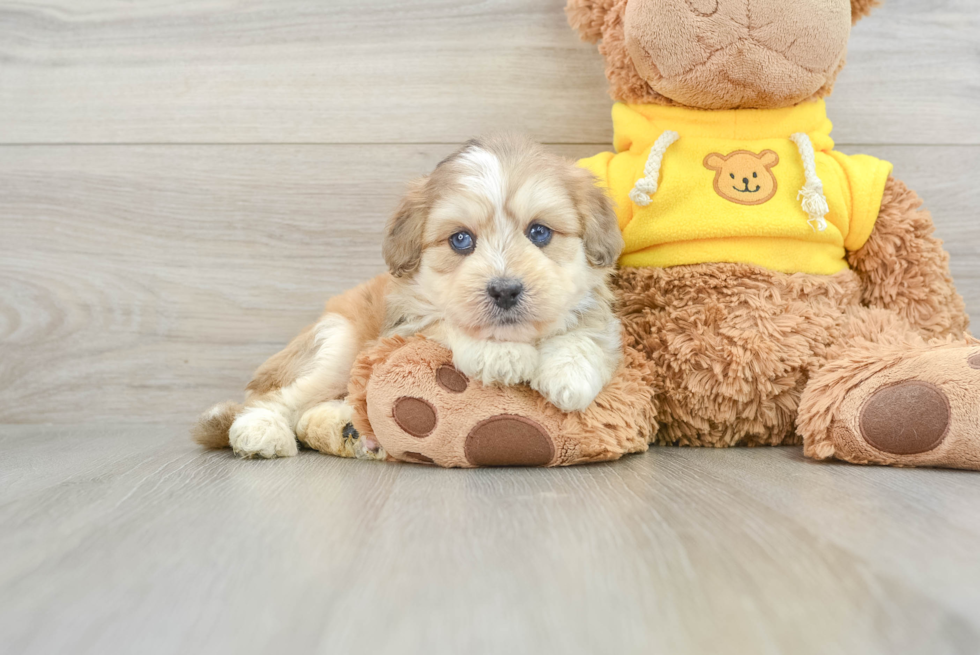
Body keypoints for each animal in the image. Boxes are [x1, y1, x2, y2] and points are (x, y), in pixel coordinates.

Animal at [194, 135, 624, 462]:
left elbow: (588, 331)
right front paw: (499, 353)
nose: (504, 290)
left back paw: (347, 428)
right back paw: (262, 432)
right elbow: (445, 322)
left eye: (539, 232)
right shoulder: (405, 324)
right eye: (461, 240)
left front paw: (568, 374)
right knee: (275, 398)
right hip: (336, 344)